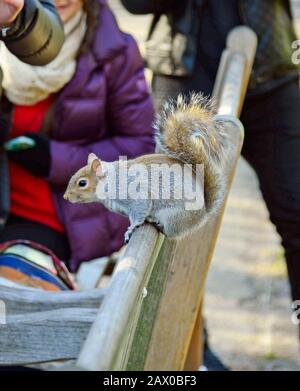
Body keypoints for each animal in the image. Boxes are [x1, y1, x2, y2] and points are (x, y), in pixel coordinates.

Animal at [63, 94, 230, 242]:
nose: (66, 197)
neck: (109, 181)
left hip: (175, 217)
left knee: (170, 233)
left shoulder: (132, 193)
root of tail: (204, 213)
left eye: (82, 183)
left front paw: (131, 229)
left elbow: (140, 210)